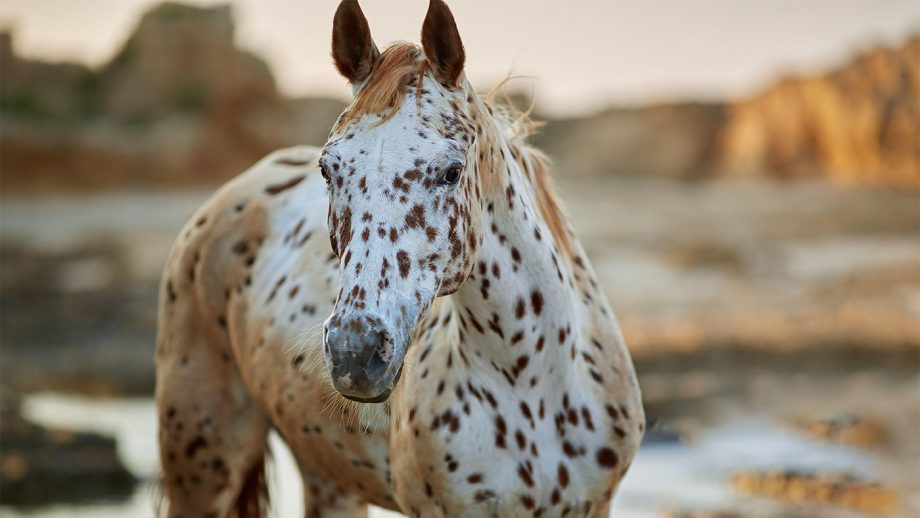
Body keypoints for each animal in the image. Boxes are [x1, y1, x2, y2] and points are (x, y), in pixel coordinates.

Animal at [154, 1, 644, 516]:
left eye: (451, 171)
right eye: (329, 169)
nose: (356, 352)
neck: (530, 382)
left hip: (327, 478)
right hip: (203, 462)